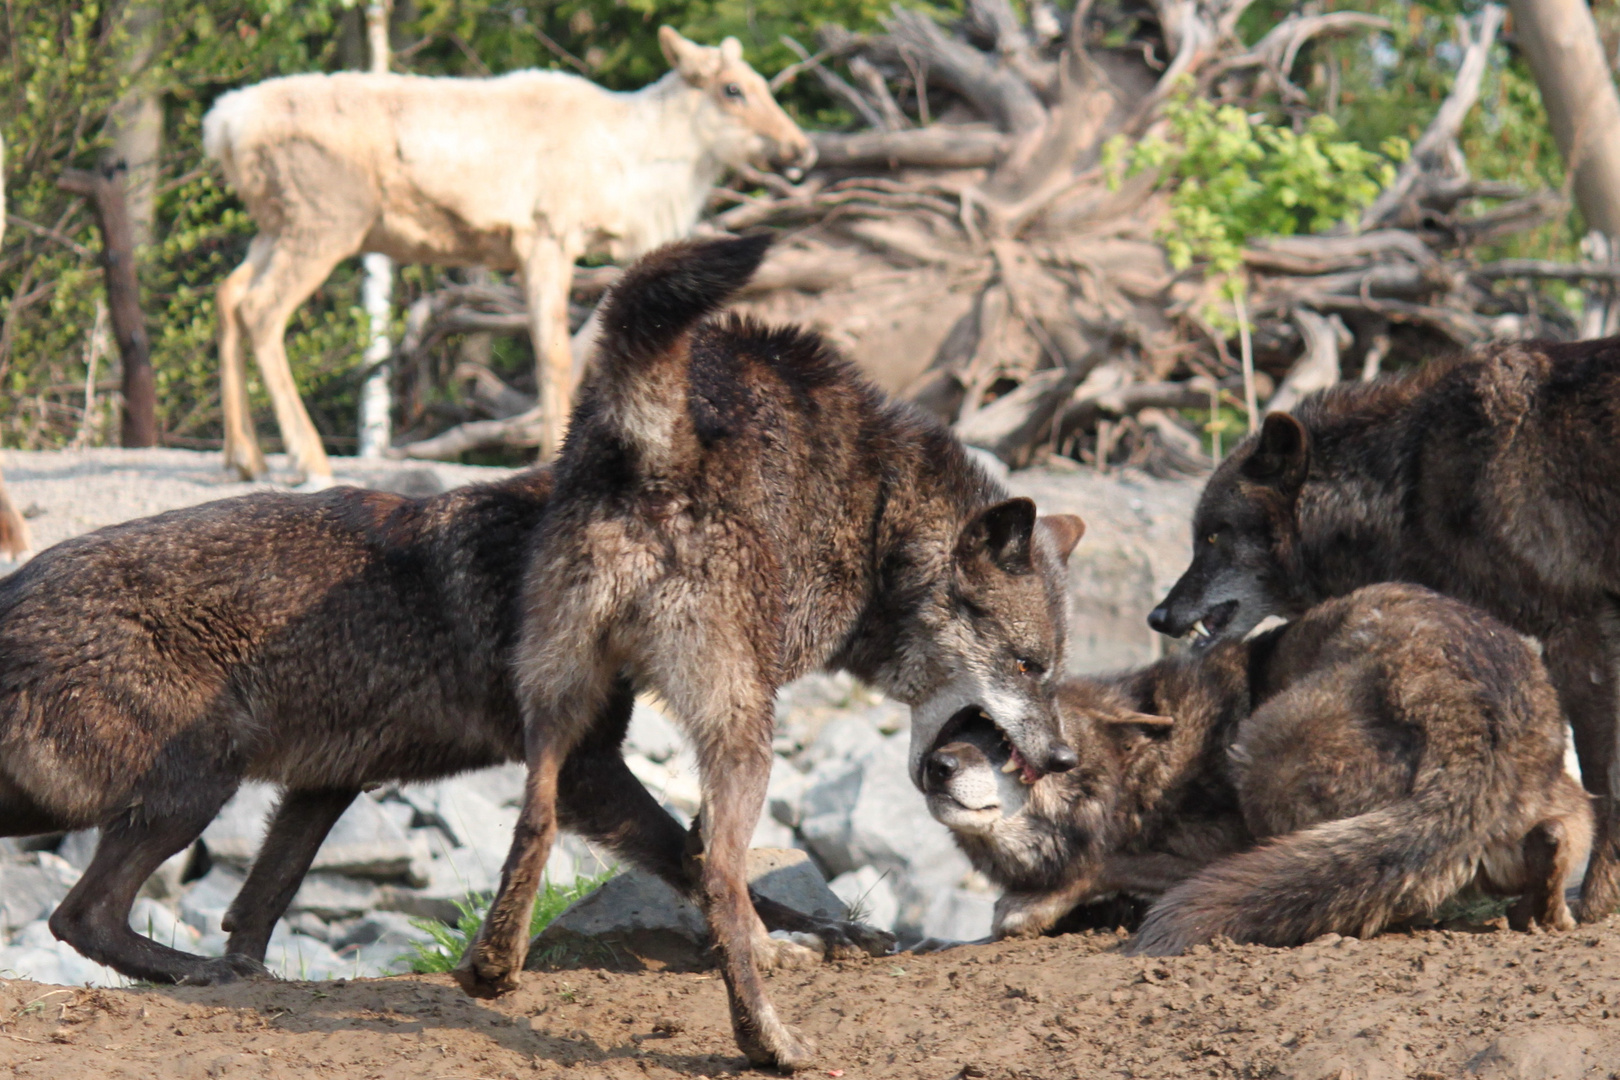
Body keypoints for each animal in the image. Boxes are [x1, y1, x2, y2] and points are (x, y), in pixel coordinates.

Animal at [0, 466, 887, 990]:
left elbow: (261, 900)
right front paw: (797, 937)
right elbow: (692, 858)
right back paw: (192, 974)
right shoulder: (587, 768)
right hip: (192, 785)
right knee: (82, 914)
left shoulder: (326, 782)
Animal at [450, 233, 1088, 1068]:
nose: (1063, 759)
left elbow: (682, 851)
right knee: (721, 870)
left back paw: (493, 967)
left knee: (537, 820)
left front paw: (778, 946)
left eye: (1052, 672)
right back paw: (767, 1038)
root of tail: (657, 449)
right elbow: (705, 864)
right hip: (749, 733)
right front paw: (776, 953)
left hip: (561, 705)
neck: (887, 521)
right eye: (1023, 665)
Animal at [920, 582, 1587, 952]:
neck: (1144, 777)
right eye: (960, 728)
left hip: (1264, 750)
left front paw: (1031, 905)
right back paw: (1542, 911)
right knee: (1555, 843)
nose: (936, 766)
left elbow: (1109, 863)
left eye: (1006, 742)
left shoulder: (1207, 844)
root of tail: (1470, 716)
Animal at [1146, 338, 1620, 919]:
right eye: (1199, 538)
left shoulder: (1579, 633)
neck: (1415, 476)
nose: (1159, 616)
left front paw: (1597, 902)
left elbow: (1604, 782)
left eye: (1215, 537)